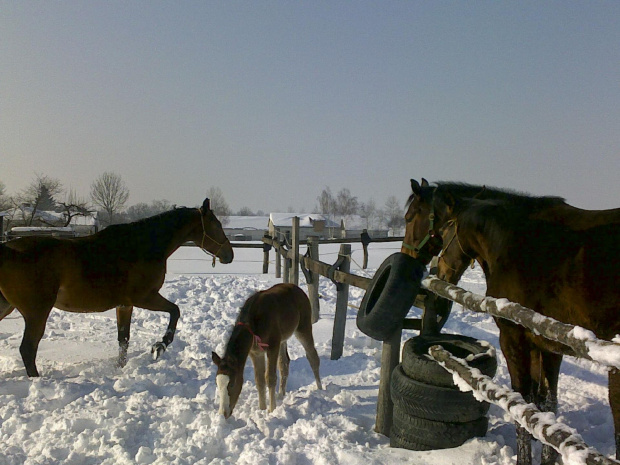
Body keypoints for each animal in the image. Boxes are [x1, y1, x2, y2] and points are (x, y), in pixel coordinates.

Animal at [0, 197, 232, 376]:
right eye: (217, 225)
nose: (229, 255)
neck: (142, 246)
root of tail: (8, 250)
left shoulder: (124, 305)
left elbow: (124, 339)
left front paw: (121, 367)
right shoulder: (145, 297)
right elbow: (175, 311)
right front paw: (160, 346)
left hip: (8, 307)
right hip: (37, 312)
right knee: (28, 349)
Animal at [212, 282, 322, 416]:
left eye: (232, 384)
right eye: (217, 383)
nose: (223, 413)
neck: (254, 324)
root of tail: (297, 288)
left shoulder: (272, 347)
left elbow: (270, 377)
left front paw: (271, 410)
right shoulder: (256, 353)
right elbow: (259, 380)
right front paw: (262, 409)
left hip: (303, 329)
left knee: (313, 357)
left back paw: (320, 390)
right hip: (282, 340)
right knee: (284, 363)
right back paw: (280, 395)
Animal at [402, 179, 620, 464]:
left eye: (409, 218)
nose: (438, 271)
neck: (513, 240)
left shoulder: (513, 338)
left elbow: (523, 406)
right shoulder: (549, 346)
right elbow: (547, 406)